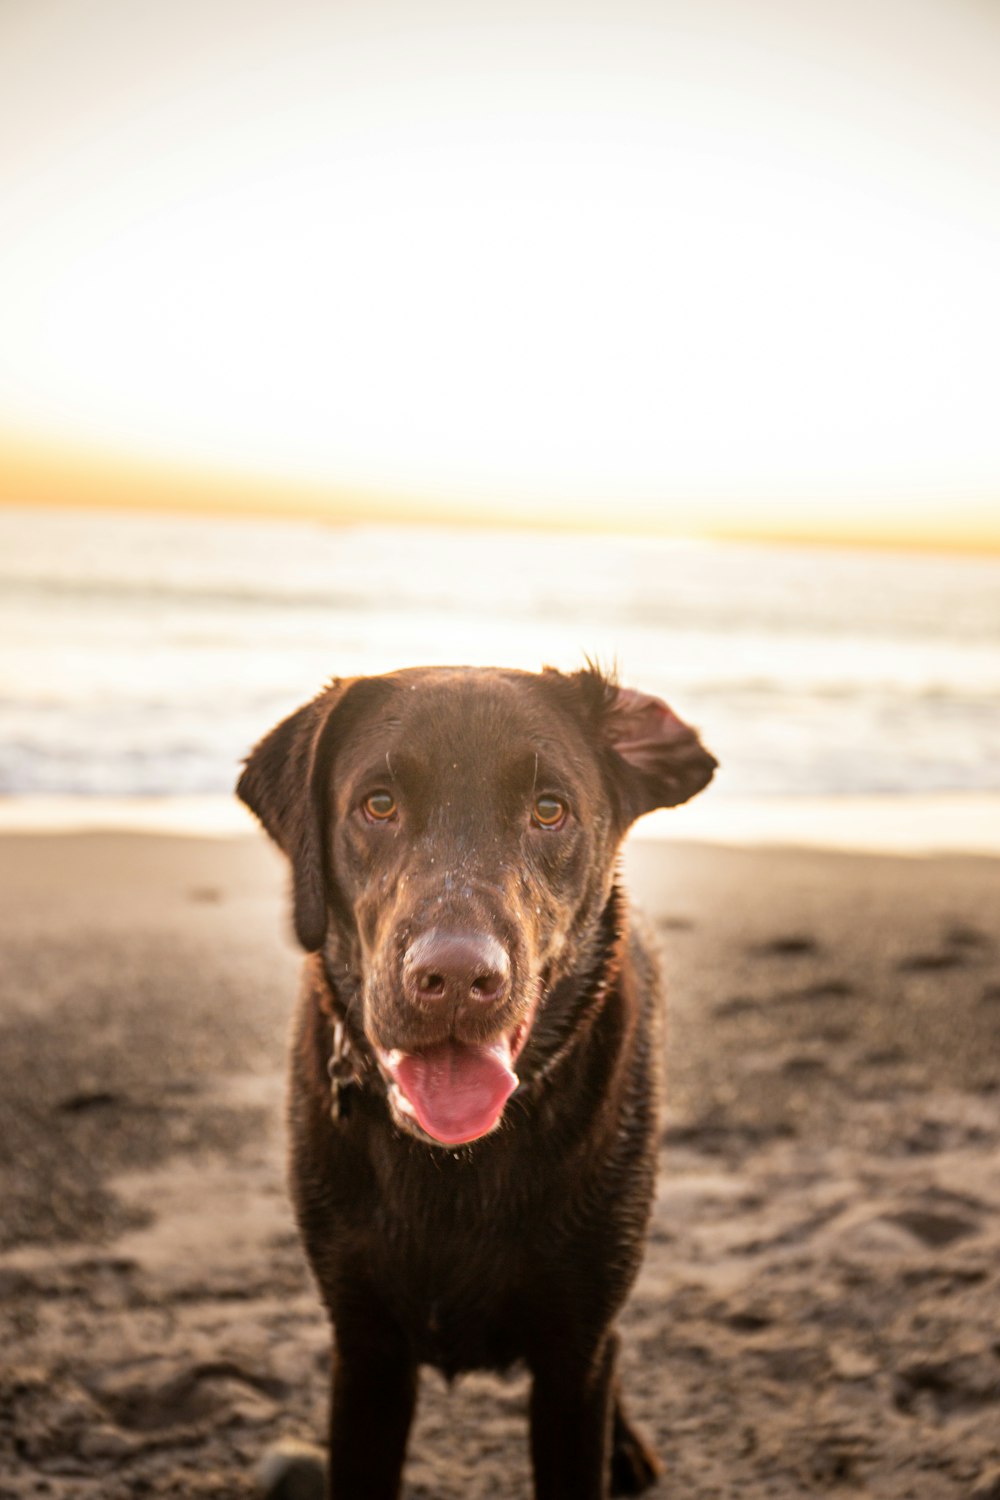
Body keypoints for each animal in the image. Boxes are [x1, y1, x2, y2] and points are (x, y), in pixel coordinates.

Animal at [238, 666, 716, 1500]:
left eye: (550, 810)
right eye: (379, 804)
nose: (456, 977)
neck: (455, 1163)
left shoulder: (573, 1356)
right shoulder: (365, 1351)